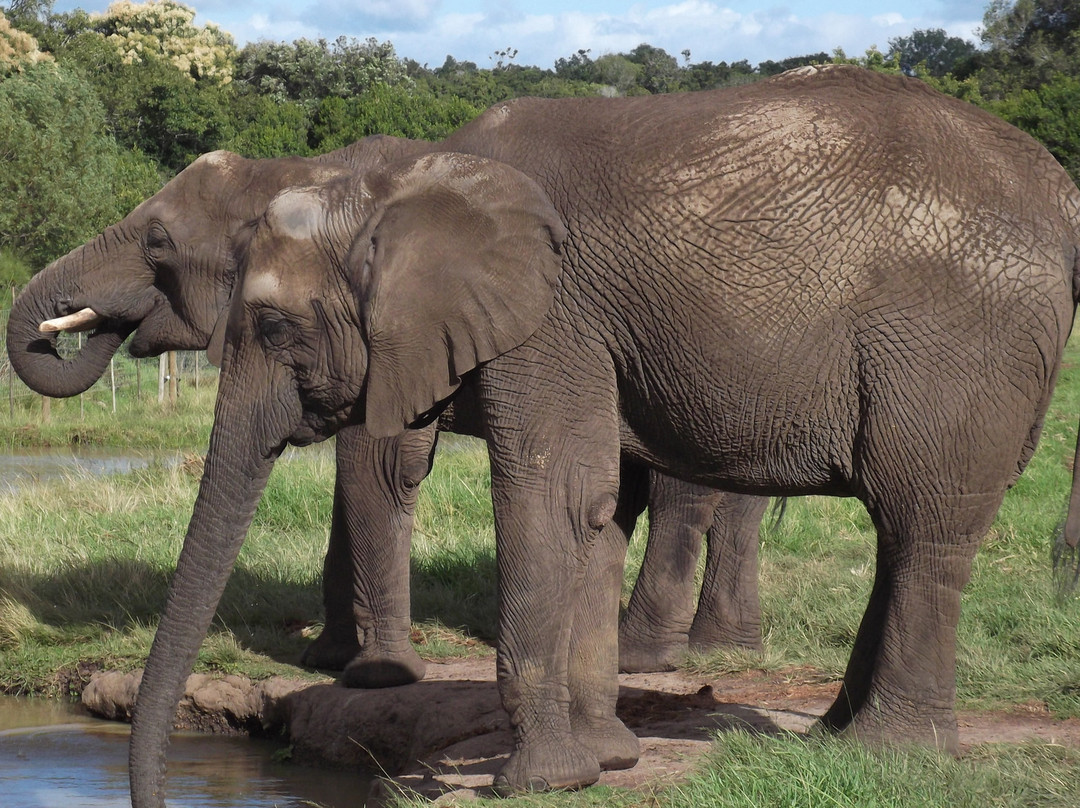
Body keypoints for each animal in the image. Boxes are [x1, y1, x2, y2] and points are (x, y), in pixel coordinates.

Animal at [6, 135, 768, 683]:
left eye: (157, 241)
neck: (304, 171)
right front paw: (329, 658)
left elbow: (377, 466)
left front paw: (376, 672)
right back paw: (723, 648)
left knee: (677, 491)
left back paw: (647, 656)